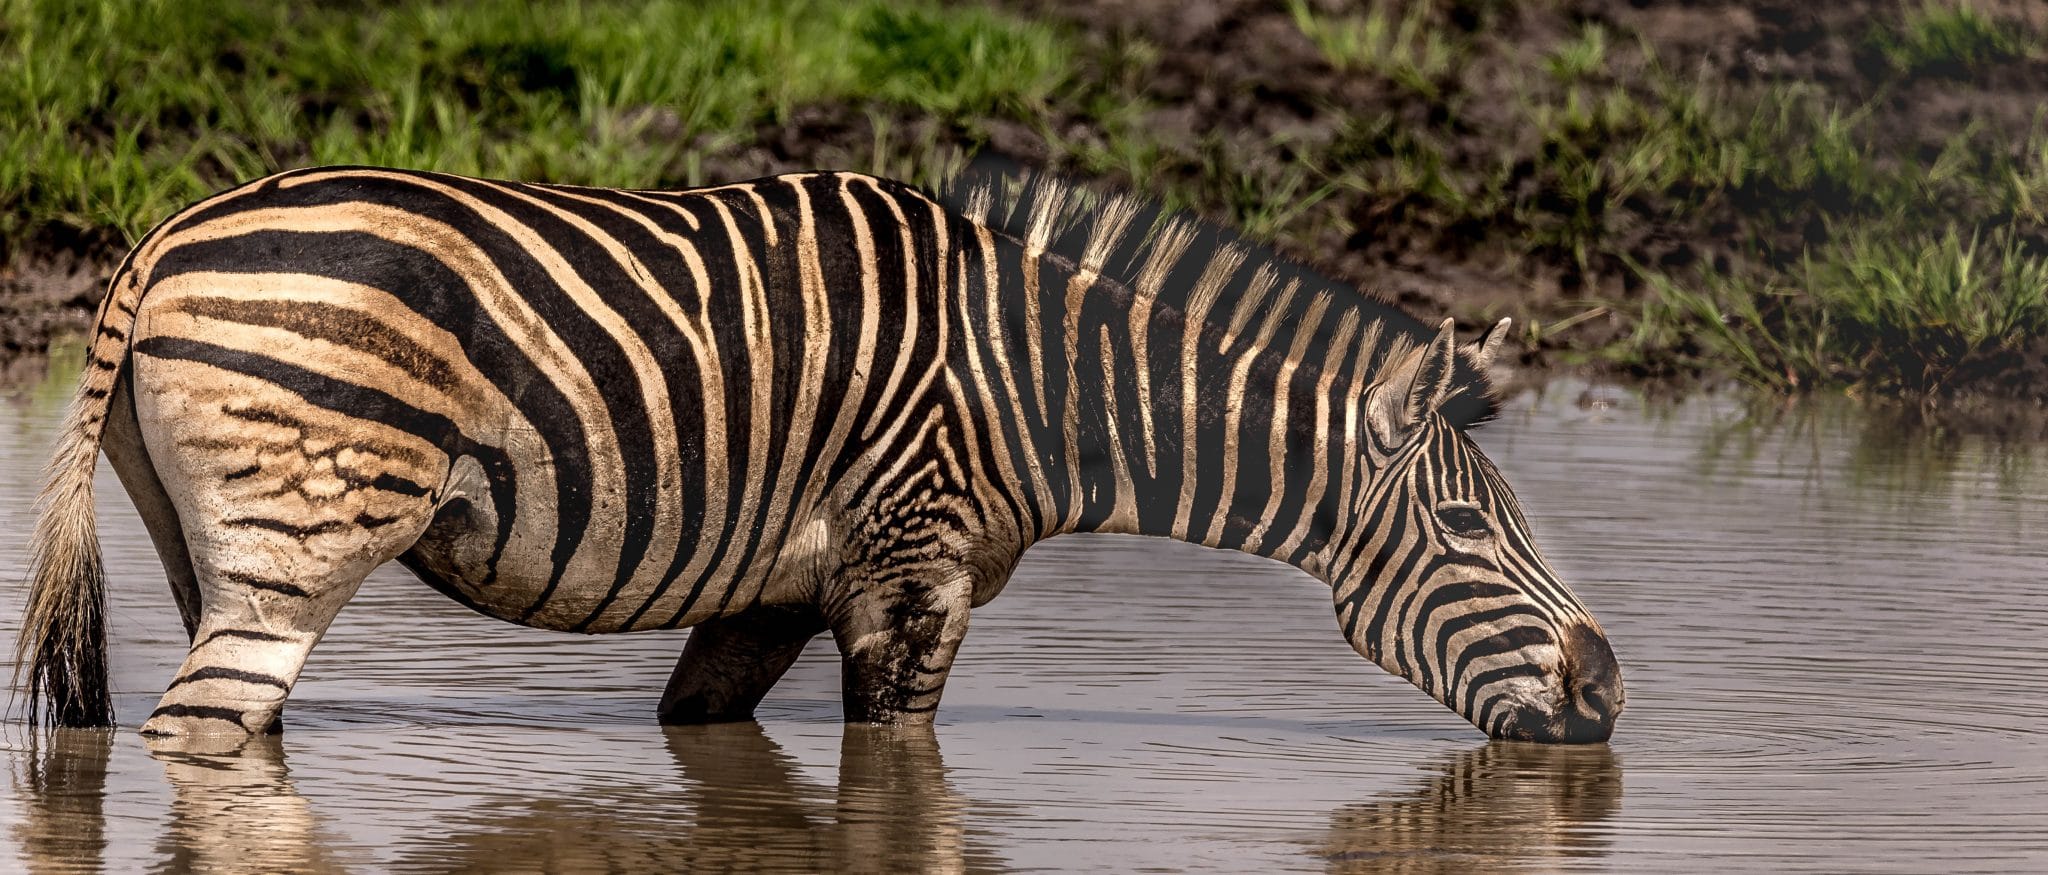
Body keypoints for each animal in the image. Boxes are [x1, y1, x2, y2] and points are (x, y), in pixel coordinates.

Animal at [15, 164, 1623, 743]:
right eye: (1472, 535)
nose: (1608, 692)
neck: (1039, 388)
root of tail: (164, 233)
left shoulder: (776, 592)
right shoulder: (912, 577)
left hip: (214, 548)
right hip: (299, 539)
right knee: (204, 729)